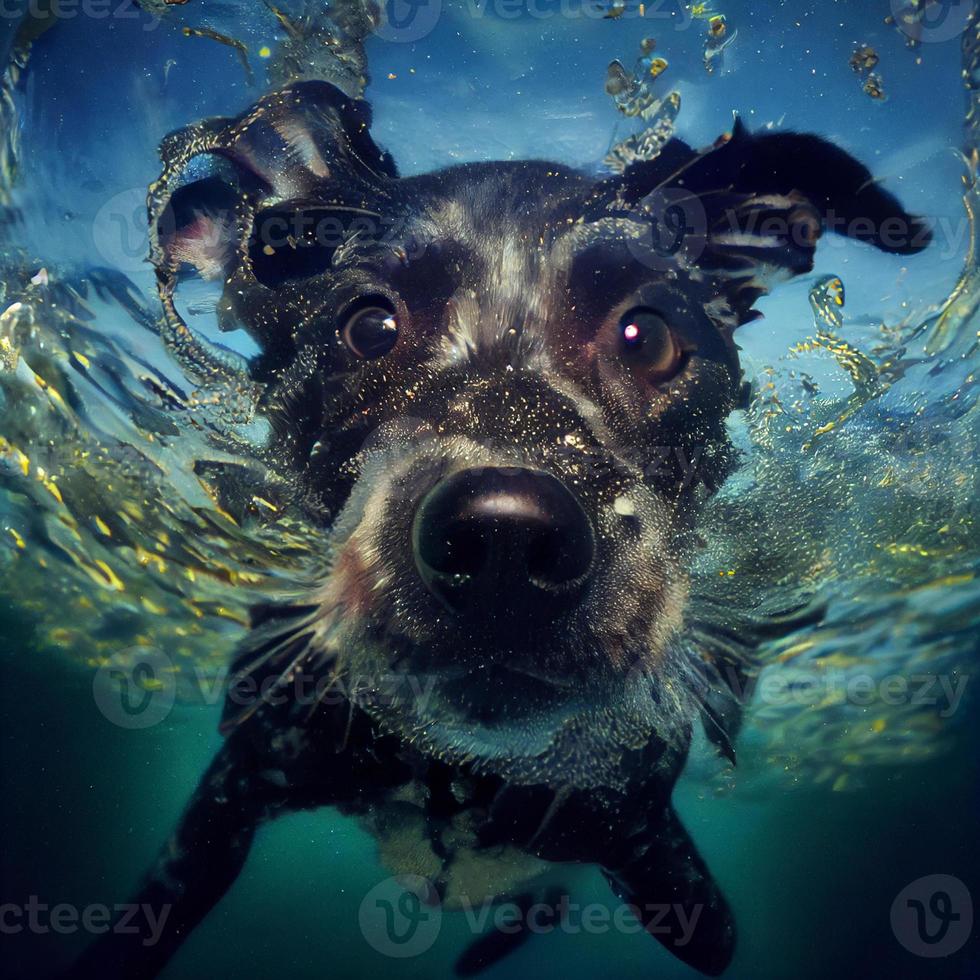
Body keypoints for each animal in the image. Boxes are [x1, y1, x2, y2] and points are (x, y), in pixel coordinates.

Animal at [74, 80, 928, 976]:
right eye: (369, 327)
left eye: (649, 336)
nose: (506, 541)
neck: (458, 775)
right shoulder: (236, 786)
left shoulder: (655, 853)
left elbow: (702, 924)